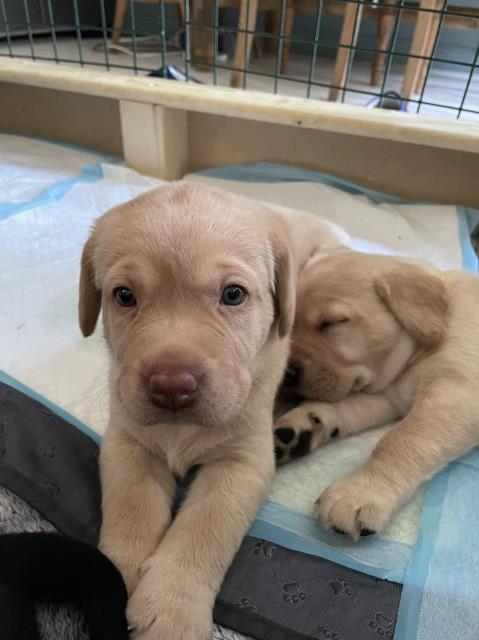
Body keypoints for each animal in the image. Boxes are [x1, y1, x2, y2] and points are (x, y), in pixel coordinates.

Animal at [79, 181, 348, 640]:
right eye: (124, 296)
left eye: (233, 294)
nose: (172, 387)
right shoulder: (128, 442)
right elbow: (130, 508)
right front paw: (115, 579)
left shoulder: (242, 462)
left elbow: (205, 527)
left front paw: (172, 609)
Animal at [276, 250, 479, 540]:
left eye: (333, 323)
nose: (287, 374)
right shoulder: (388, 395)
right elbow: (348, 406)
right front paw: (301, 424)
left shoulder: (456, 392)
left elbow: (400, 439)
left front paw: (361, 493)